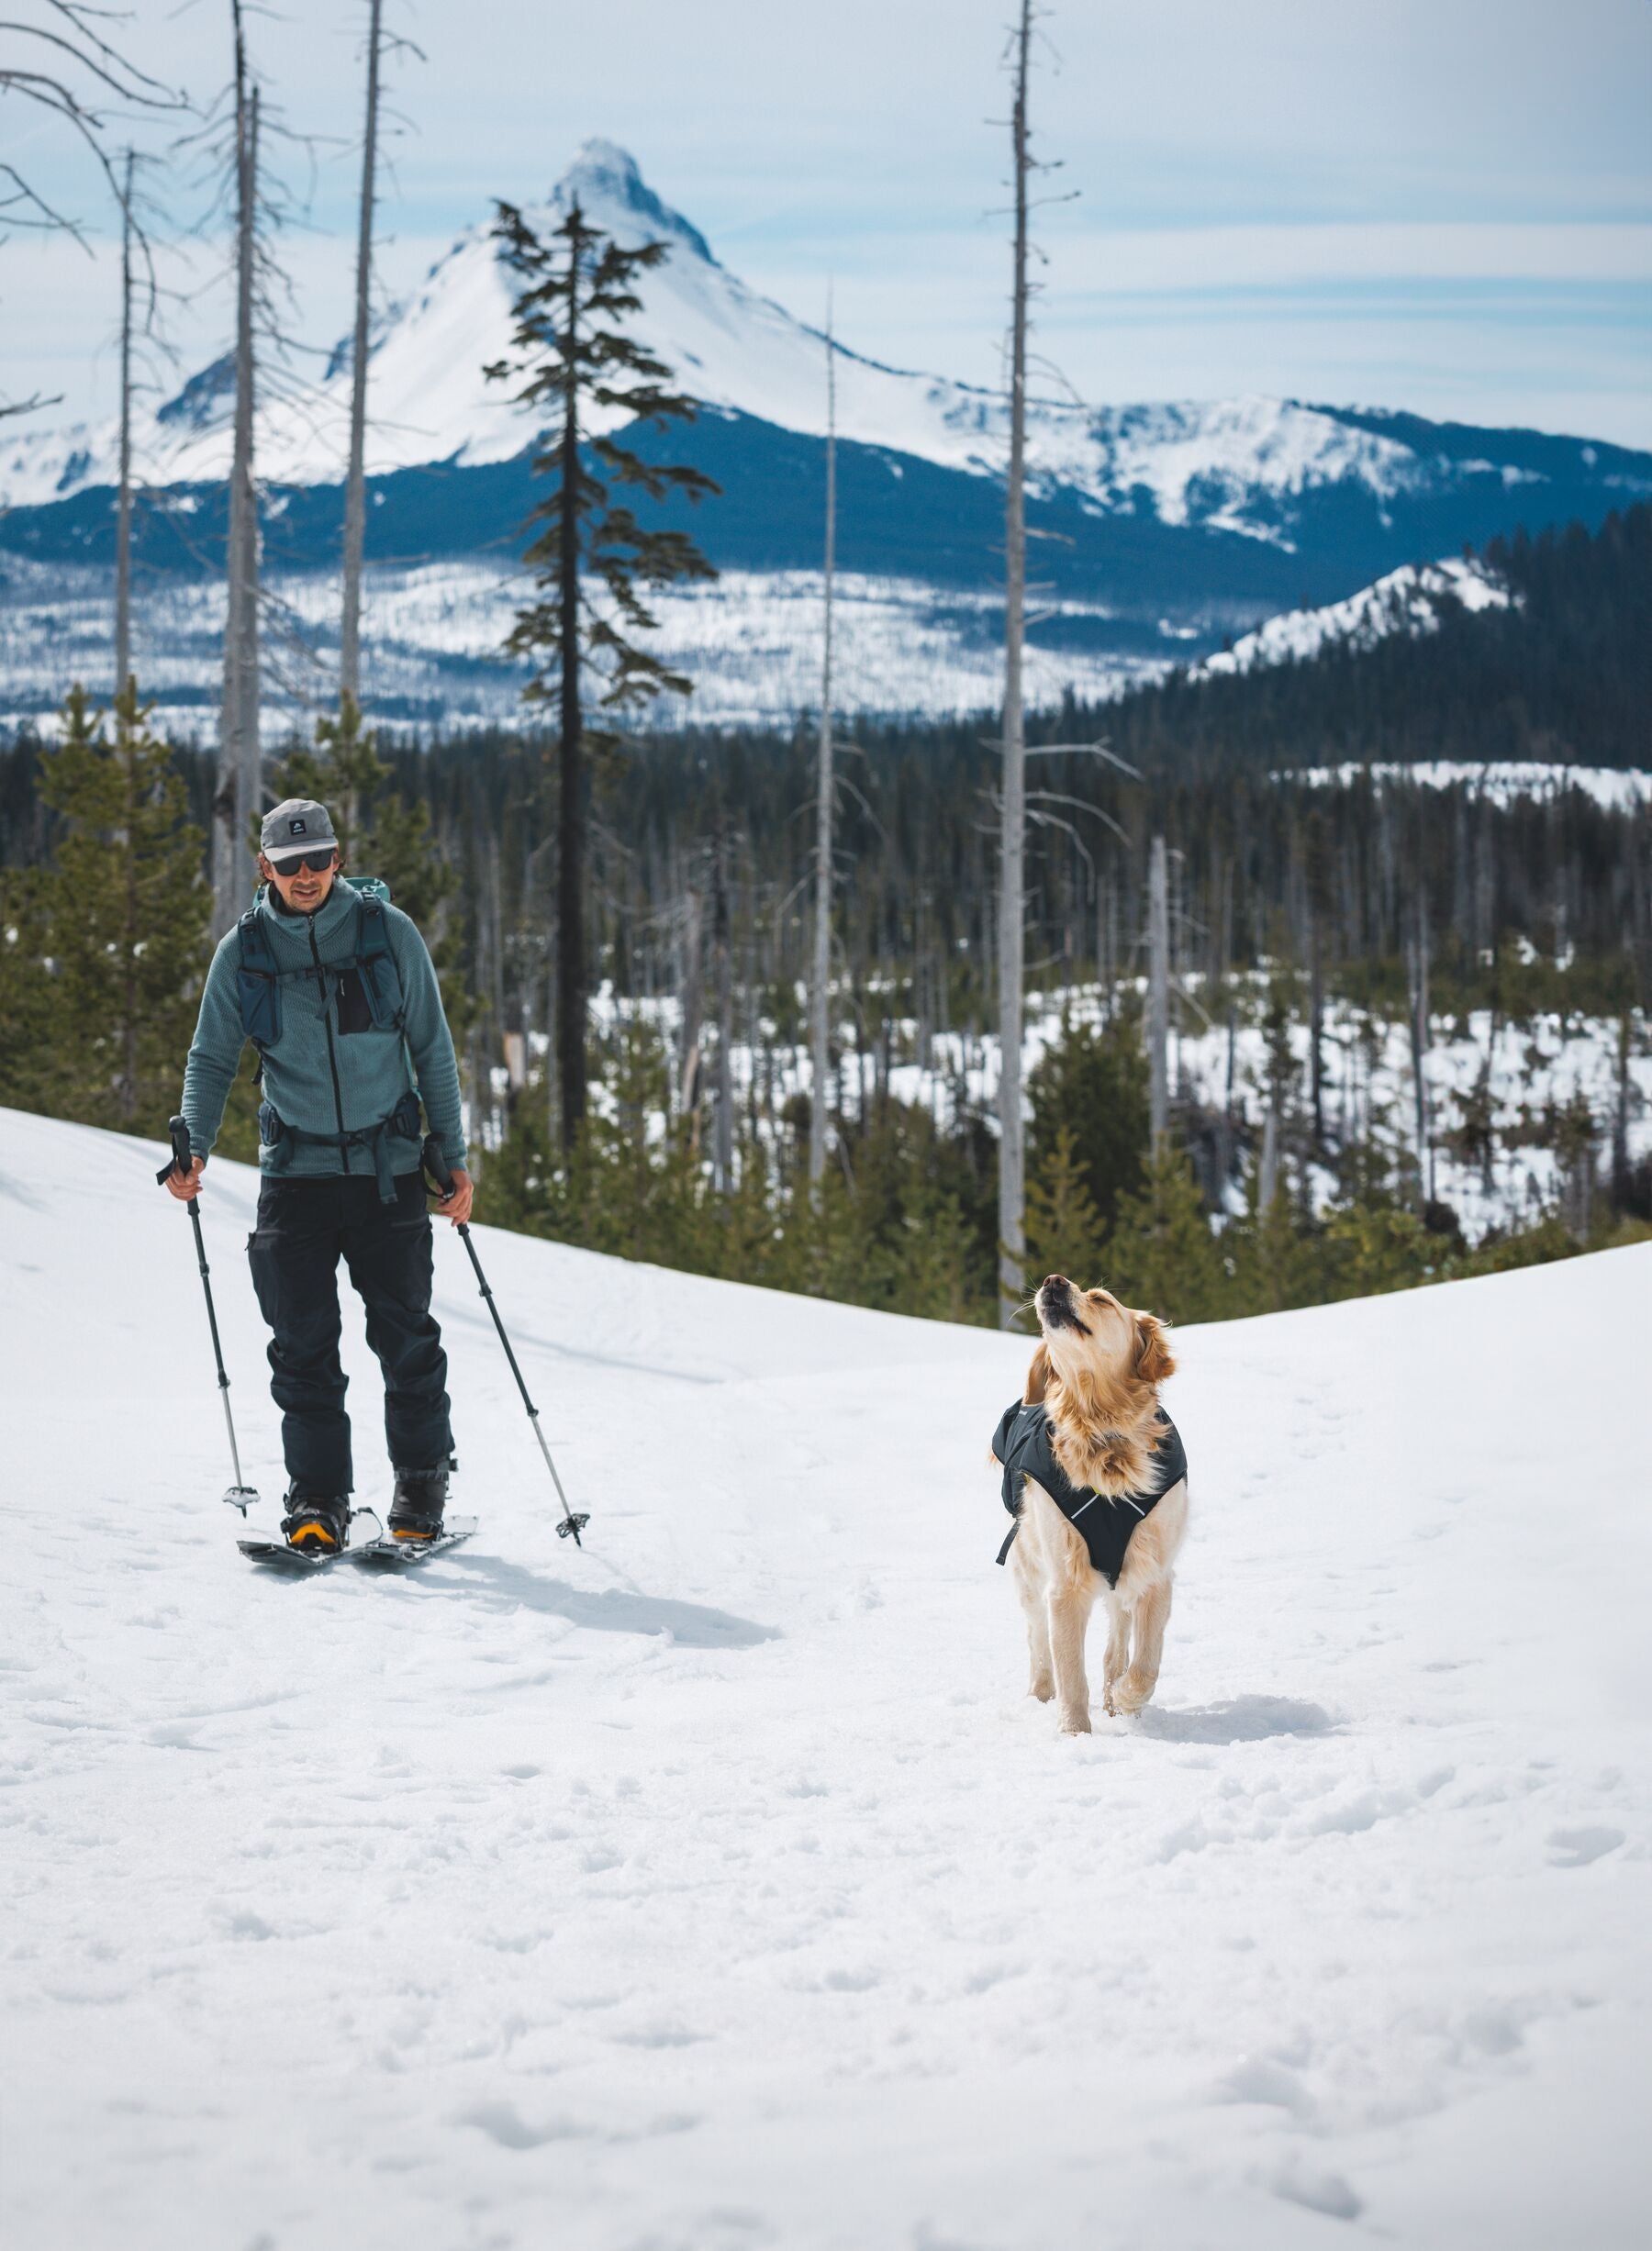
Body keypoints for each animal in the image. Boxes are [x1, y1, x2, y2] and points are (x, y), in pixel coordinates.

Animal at [994, 1278, 1188, 1728]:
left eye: (1101, 1299)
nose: (1053, 1281)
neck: (1102, 1428)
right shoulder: (1065, 1582)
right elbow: (1069, 1673)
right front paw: (1075, 1734)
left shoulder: (1154, 1573)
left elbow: (1146, 1663)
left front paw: (1128, 1699)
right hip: (1029, 1569)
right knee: (1038, 1641)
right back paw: (1039, 1693)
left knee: (1116, 1647)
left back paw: (1115, 1701)